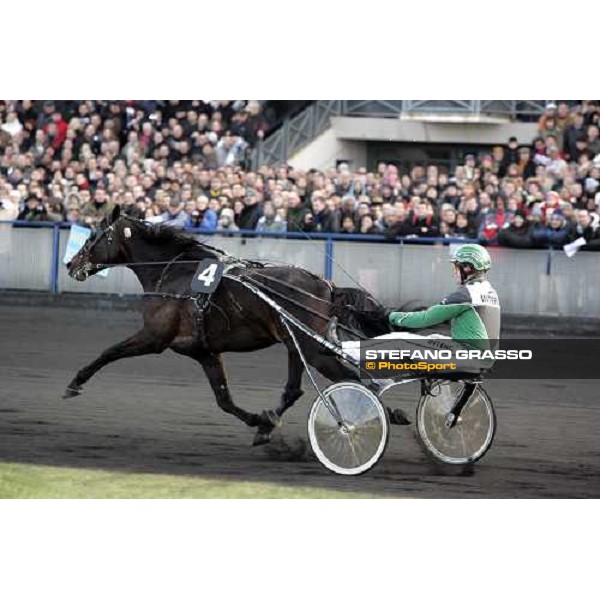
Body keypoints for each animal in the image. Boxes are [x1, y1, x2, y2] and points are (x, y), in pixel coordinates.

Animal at [65, 206, 390, 446]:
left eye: (94, 236)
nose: (70, 264)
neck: (176, 274)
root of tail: (327, 286)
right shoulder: (204, 352)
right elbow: (224, 399)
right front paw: (260, 420)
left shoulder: (154, 337)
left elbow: (109, 352)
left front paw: (75, 383)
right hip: (295, 344)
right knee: (294, 389)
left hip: (312, 349)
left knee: (351, 378)